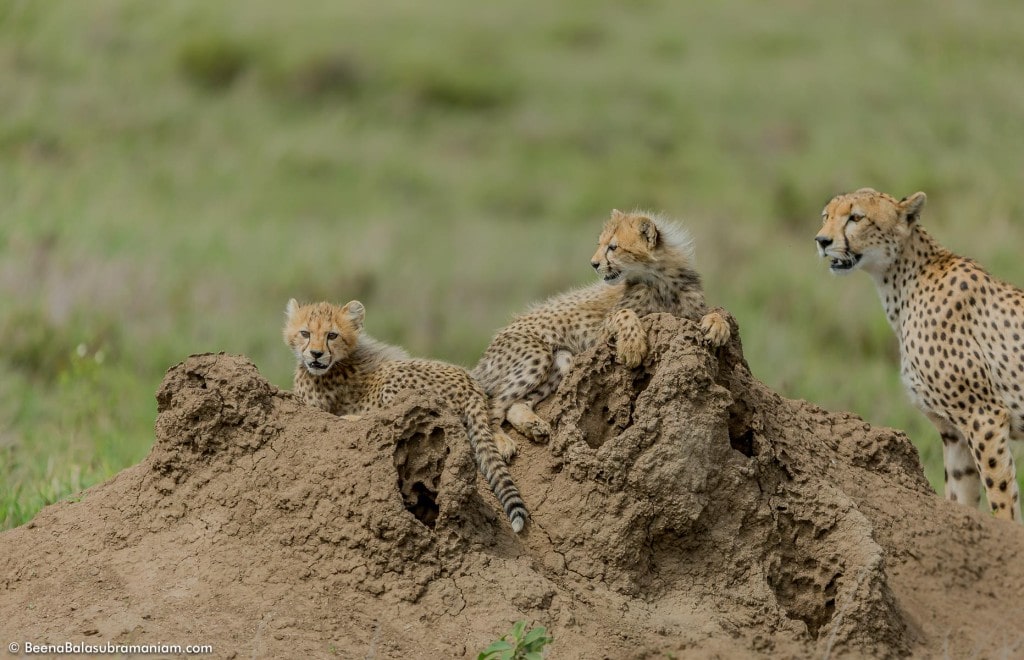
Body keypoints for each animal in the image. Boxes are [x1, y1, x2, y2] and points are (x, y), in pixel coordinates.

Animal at [286, 296, 532, 532]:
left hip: (395, 378)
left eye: (332, 335)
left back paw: (352, 418)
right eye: (305, 333)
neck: (339, 361)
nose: (316, 354)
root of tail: (473, 385)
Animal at [471, 209, 729, 448]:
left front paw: (718, 327)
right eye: (601, 244)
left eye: (613, 247)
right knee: (494, 404)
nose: (594, 264)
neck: (661, 280)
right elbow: (624, 314)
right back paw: (500, 441)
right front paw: (632, 346)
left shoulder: (688, 313)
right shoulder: (597, 335)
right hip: (537, 353)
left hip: (564, 359)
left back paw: (533, 426)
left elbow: (715, 312)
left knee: (515, 403)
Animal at [815, 186, 1024, 519]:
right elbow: (960, 498)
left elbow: (1002, 500)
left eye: (856, 217)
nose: (822, 241)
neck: (904, 282)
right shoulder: (954, 431)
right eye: (826, 216)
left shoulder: (984, 416)